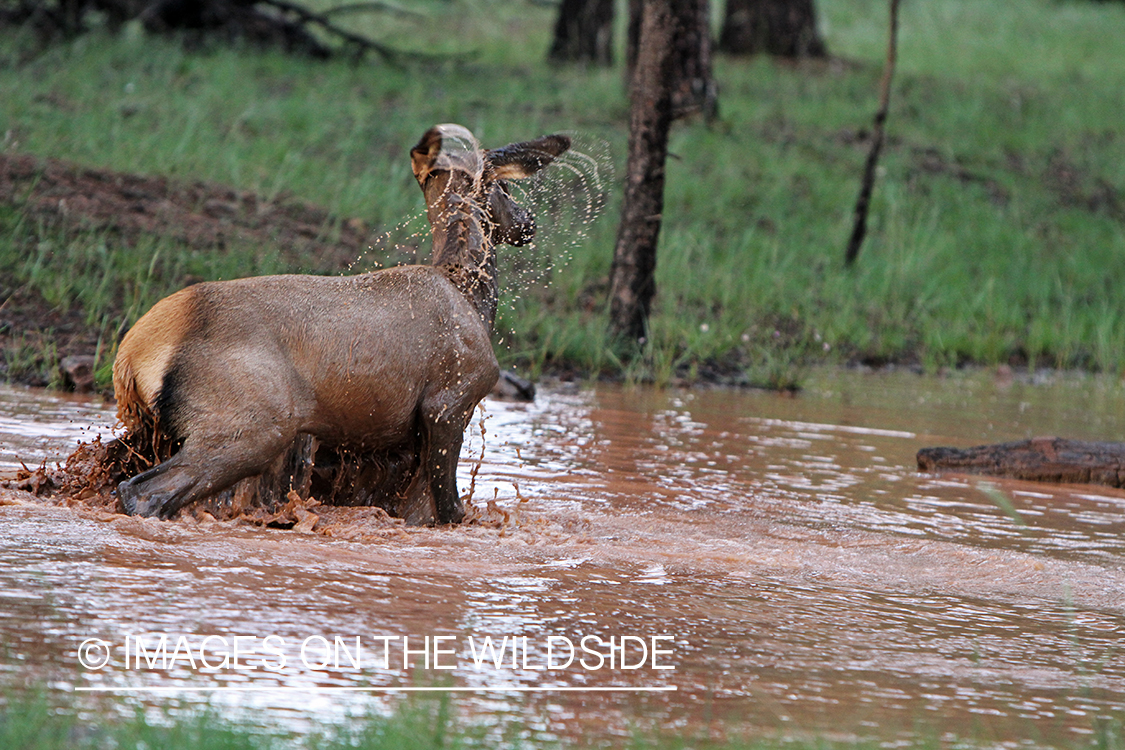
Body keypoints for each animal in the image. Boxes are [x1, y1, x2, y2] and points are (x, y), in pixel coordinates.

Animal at [112, 124, 570, 524]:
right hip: (251, 422)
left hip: (148, 427)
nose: (528, 223)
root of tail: (130, 355)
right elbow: (447, 511)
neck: (472, 294)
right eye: (506, 186)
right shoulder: (450, 401)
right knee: (144, 492)